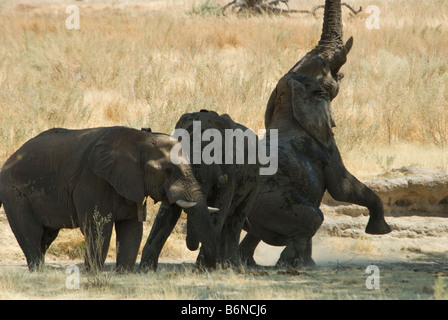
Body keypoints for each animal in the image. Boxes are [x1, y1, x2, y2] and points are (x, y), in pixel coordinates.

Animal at [0, 126, 218, 272]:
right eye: (166, 170)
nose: (210, 267)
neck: (140, 139)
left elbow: (132, 229)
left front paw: (124, 274)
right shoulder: (92, 181)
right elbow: (99, 226)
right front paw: (93, 273)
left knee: (47, 236)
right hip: (13, 192)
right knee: (32, 232)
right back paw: (38, 271)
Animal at [139, 110, 260, 270]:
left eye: (213, 152)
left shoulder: (230, 171)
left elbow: (218, 211)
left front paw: (203, 268)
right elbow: (167, 212)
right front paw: (145, 269)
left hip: (256, 182)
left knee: (236, 218)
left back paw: (230, 265)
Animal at [238, 0, 392, 268]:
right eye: (332, 76)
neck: (289, 95)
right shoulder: (324, 146)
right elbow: (342, 187)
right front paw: (381, 230)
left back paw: (249, 262)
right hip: (269, 200)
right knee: (313, 217)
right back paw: (288, 264)